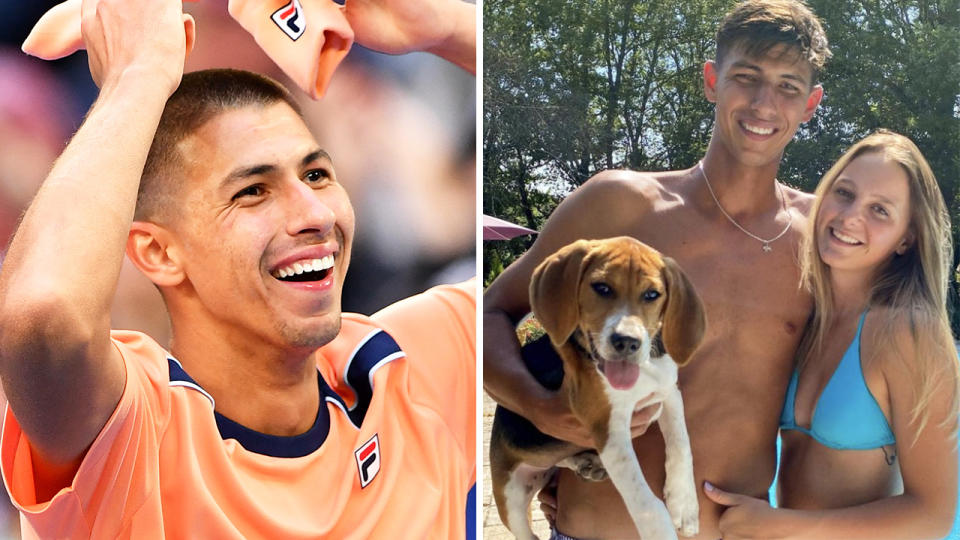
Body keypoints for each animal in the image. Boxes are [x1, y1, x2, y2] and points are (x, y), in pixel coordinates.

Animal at [488, 237, 704, 540]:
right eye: (602, 288)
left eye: (652, 294)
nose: (626, 341)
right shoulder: (608, 428)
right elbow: (645, 501)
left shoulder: (668, 391)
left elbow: (681, 444)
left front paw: (684, 504)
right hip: (510, 498)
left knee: (559, 459)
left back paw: (583, 463)